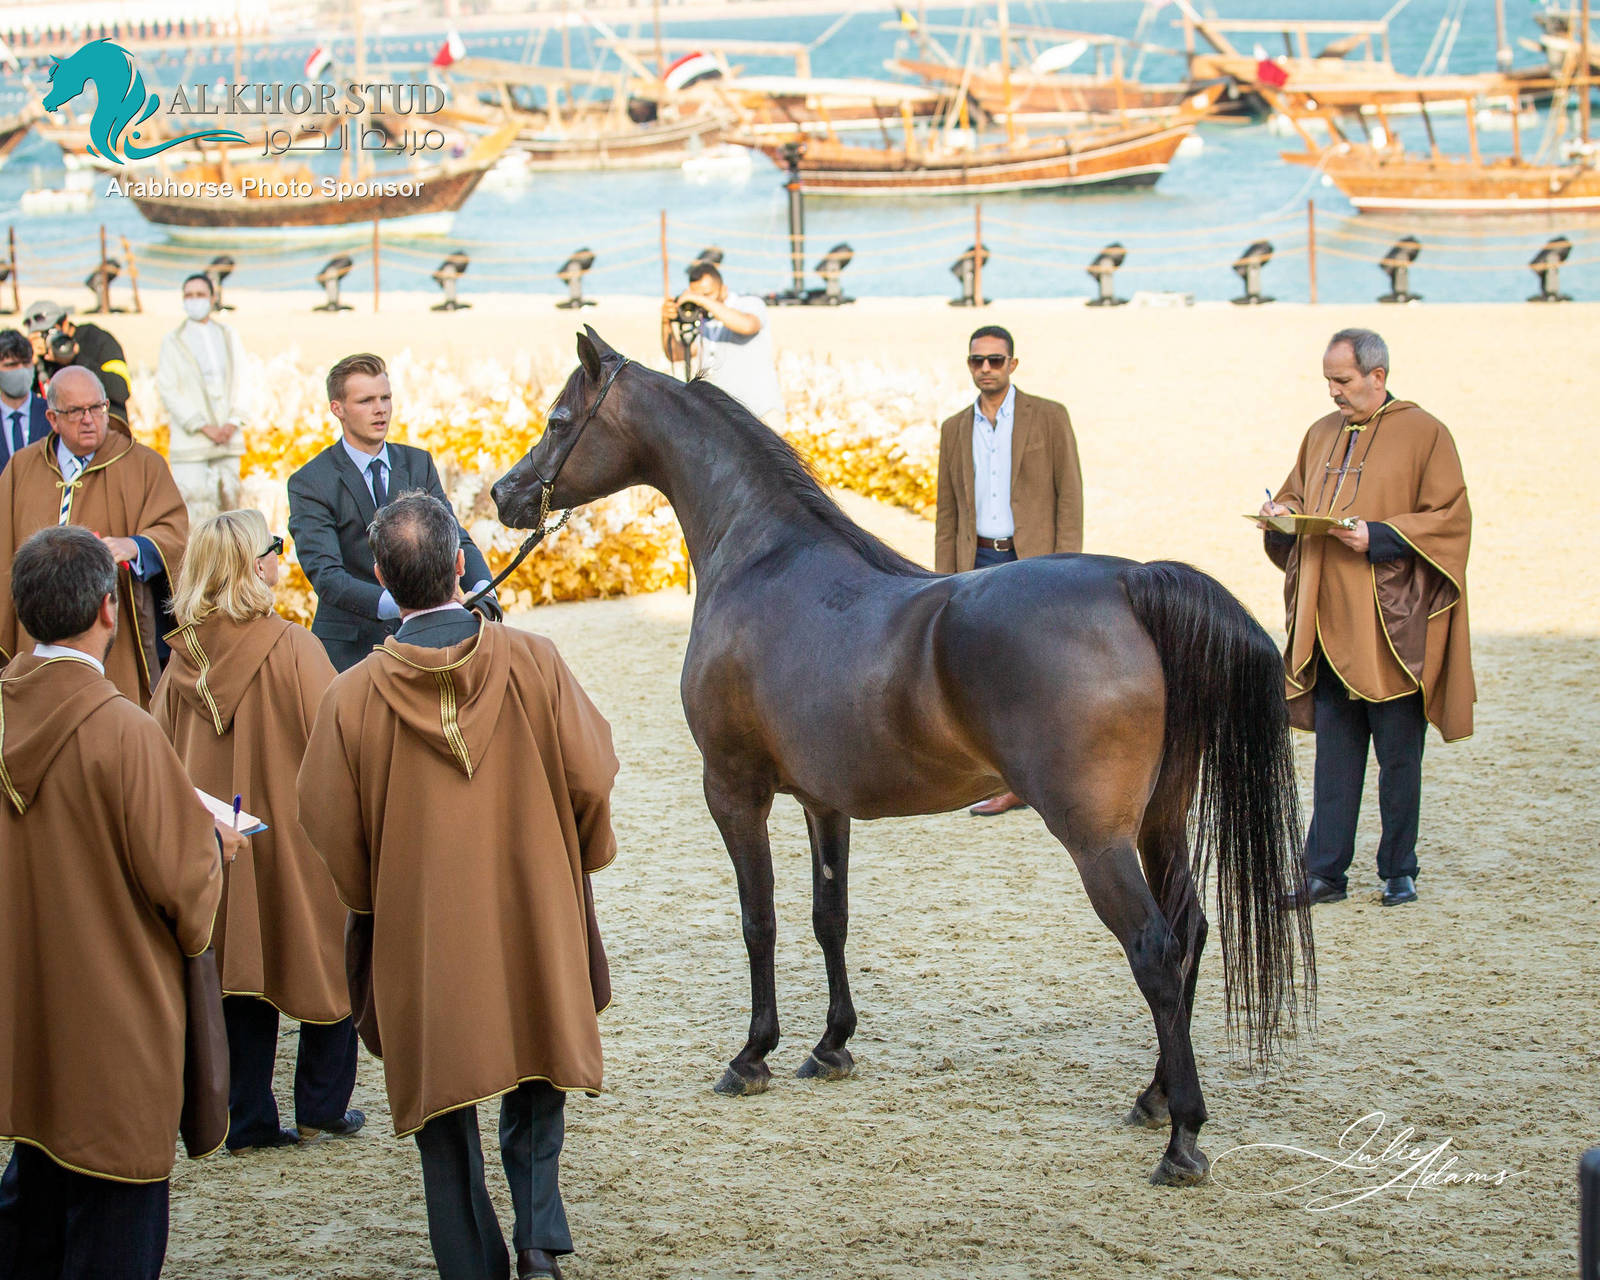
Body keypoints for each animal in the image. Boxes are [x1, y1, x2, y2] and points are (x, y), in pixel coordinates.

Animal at [491, 329, 1315, 1186]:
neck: (762, 559)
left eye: (558, 420)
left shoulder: (734, 789)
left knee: (1154, 949)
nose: (503, 495)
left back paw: (1182, 1138)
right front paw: (831, 1046)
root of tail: (1133, 583)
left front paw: (753, 1055)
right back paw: (1153, 1097)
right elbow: (830, 917)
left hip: (1096, 837)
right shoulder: (824, 801)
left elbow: (760, 919)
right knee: (1190, 932)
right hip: (1159, 821)